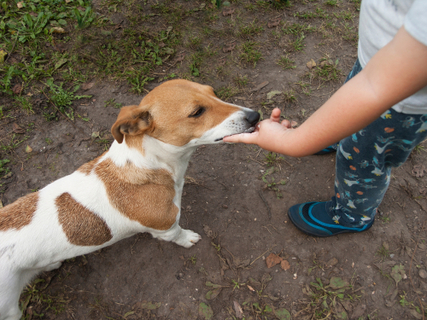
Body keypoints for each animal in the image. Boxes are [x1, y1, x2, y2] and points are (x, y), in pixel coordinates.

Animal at [0, 79, 260, 320]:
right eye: (197, 112)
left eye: (213, 92)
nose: (255, 116)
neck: (149, 163)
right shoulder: (166, 227)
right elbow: (178, 234)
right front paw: (188, 239)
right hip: (9, 309)